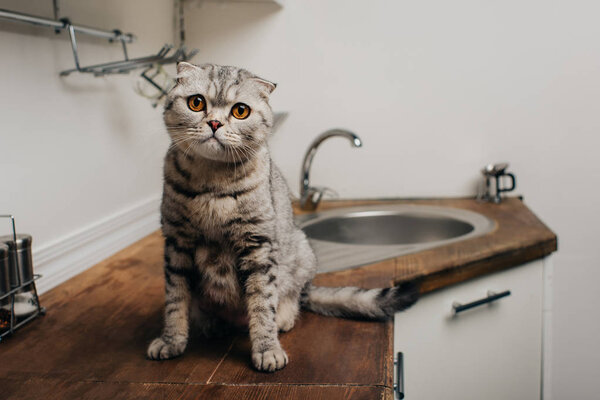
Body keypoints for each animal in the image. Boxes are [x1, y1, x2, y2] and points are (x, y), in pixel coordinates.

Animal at [146, 61, 420, 372]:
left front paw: (267, 349)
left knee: (292, 298)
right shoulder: (177, 243)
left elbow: (262, 304)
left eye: (240, 111)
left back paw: (283, 318)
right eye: (196, 103)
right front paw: (171, 340)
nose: (215, 123)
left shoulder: (257, 245)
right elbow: (175, 300)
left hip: (301, 254)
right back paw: (209, 323)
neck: (212, 185)